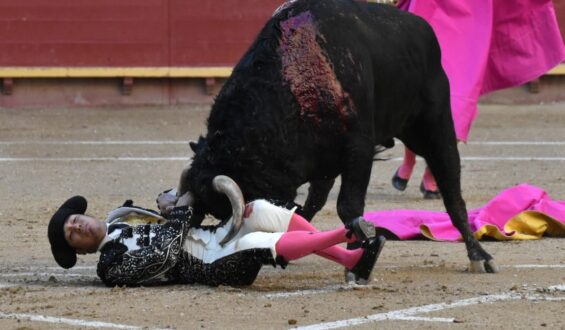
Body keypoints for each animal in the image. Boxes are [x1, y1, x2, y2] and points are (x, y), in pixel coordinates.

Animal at [178, 0, 496, 272]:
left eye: (227, 213)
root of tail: (423, 29)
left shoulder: (358, 149)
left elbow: (349, 207)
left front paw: (357, 257)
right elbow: (306, 209)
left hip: (436, 128)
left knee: (452, 193)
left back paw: (479, 256)